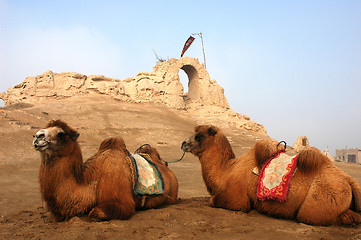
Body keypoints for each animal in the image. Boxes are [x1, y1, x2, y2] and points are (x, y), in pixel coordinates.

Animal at [181, 124, 360, 226]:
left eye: (199, 136)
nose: (183, 144)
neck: (227, 170)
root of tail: (349, 181)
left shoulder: (238, 199)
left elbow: (213, 200)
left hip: (315, 205)